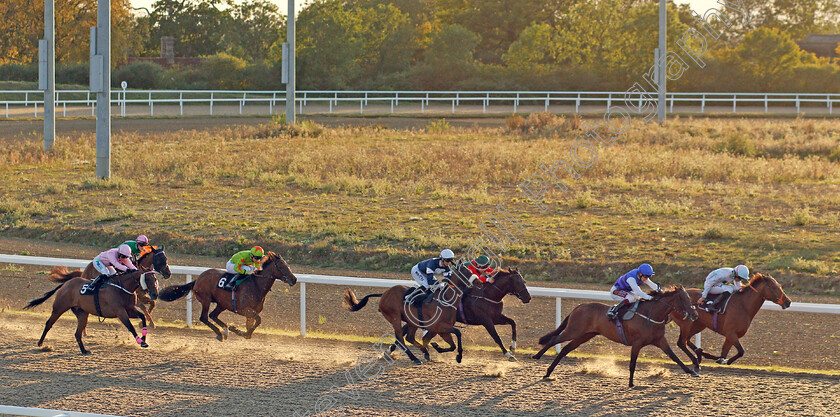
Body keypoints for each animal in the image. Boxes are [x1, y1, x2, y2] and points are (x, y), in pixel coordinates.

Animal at [23, 264, 158, 352]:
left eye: (155, 278)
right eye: (147, 278)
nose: (155, 294)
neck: (122, 287)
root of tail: (66, 284)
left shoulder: (129, 310)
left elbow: (143, 317)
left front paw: (144, 337)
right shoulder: (120, 312)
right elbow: (130, 327)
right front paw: (141, 342)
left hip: (82, 314)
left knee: (77, 333)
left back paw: (84, 351)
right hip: (59, 308)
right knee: (48, 324)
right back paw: (40, 343)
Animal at [156, 252, 296, 340]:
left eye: (288, 265)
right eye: (282, 266)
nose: (294, 279)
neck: (256, 285)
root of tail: (198, 279)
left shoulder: (250, 313)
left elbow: (252, 327)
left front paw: (240, 332)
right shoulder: (244, 309)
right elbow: (259, 320)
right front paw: (236, 329)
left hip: (222, 304)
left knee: (213, 315)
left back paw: (226, 330)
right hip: (206, 300)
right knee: (204, 317)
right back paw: (220, 333)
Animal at [402, 266, 532, 360]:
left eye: (524, 281)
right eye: (518, 282)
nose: (528, 298)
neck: (488, 295)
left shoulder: (496, 317)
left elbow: (513, 323)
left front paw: (513, 347)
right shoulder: (486, 321)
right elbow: (496, 337)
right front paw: (509, 355)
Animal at [536, 286, 700, 386]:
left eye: (689, 298)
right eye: (684, 299)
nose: (695, 315)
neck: (650, 315)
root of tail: (579, 306)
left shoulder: (660, 341)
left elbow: (674, 357)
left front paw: (691, 371)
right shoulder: (637, 343)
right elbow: (632, 363)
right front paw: (631, 383)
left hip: (584, 335)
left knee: (565, 349)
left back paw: (548, 372)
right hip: (574, 330)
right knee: (554, 340)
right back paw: (537, 356)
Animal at [668, 272, 796, 370]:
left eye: (780, 286)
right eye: (774, 287)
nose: (788, 302)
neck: (744, 305)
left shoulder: (731, 336)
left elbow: (724, 354)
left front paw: (715, 357)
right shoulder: (730, 333)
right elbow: (740, 351)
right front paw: (725, 361)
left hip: (698, 324)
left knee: (687, 340)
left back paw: (699, 354)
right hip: (686, 323)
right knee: (681, 342)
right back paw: (696, 358)